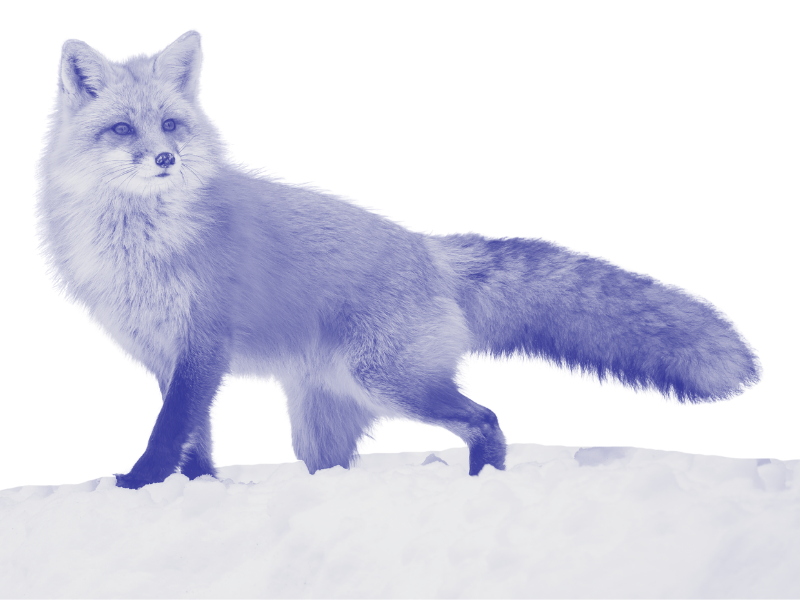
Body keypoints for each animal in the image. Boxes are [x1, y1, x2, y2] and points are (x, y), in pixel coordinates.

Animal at [33, 30, 763, 490]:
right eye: (122, 128)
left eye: (171, 125)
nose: (165, 158)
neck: (141, 240)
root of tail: (428, 250)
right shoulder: (166, 355)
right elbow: (195, 442)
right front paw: (192, 494)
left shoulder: (200, 346)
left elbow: (170, 433)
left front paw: (138, 487)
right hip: (323, 413)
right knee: (341, 465)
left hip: (389, 381)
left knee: (487, 420)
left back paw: (484, 486)